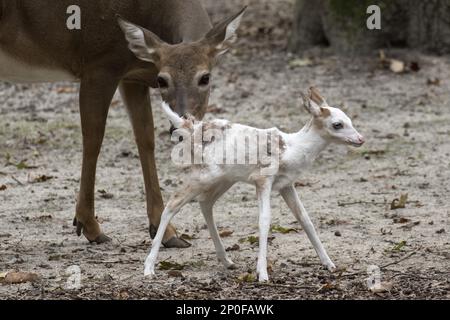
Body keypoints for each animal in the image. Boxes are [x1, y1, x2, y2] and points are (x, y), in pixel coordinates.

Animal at [0, 0, 246, 248]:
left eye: (206, 77)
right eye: (162, 80)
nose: (181, 127)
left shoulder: (132, 77)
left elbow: (145, 138)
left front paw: (167, 232)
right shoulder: (98, 64)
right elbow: (93, 139)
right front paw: (90, 226)